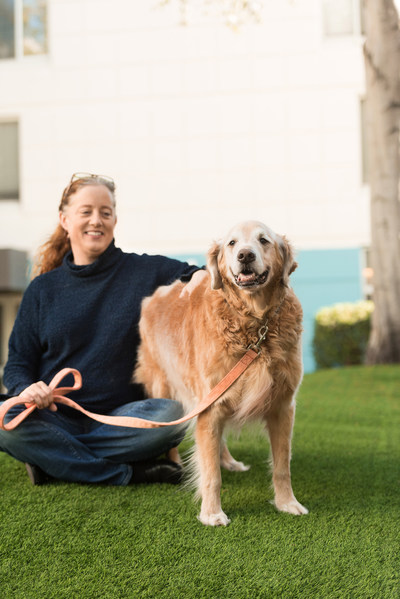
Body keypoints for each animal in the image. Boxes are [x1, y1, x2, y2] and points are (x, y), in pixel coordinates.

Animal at [133, 220, 308, 524]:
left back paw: (228, 460)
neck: (255, 325)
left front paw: (287, 503)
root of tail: (155, 294)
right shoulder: (210, 406)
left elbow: (282, 465)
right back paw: (176, 464)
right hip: (164, 387)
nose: (245, 256)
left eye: (263, 240)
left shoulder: (282, 405)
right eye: (232, 243)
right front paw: (212, 513)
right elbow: (210, 474)